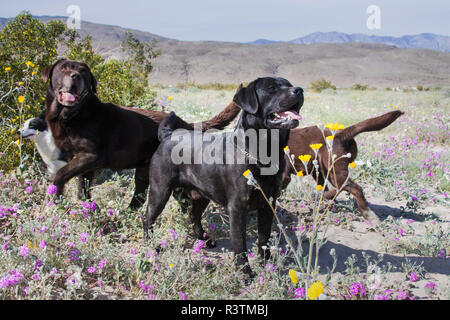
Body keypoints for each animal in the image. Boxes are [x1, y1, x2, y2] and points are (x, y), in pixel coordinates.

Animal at [143, 77, 302, 272]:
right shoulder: (237, 208)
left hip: (201, 195)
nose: (299, 90)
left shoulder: (268, 204)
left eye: (289, 84)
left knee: (193, 216)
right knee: (148, 218)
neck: (263, 153)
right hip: (160, 191)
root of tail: (167, 136)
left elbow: (264, 238)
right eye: (271, 88)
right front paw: (245, 273)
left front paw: (267, 265)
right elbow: (240, 245)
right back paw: (152, 246)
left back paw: (204, 240)